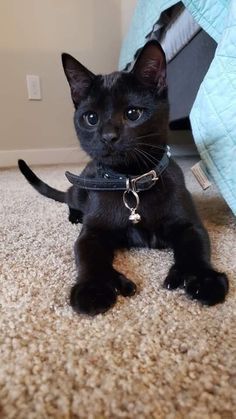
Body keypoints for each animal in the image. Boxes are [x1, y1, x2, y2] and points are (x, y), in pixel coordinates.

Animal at [18, 41, 229, 316]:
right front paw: (94, 288)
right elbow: (88, 255)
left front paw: (203, 279)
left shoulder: (189, 224)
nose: (108, 136)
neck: (132, 182)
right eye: (91, 118)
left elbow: (195, 247)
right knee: (69, 198)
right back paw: (75, 216)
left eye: (133, 113)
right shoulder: (93, 232)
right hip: (80, 188)